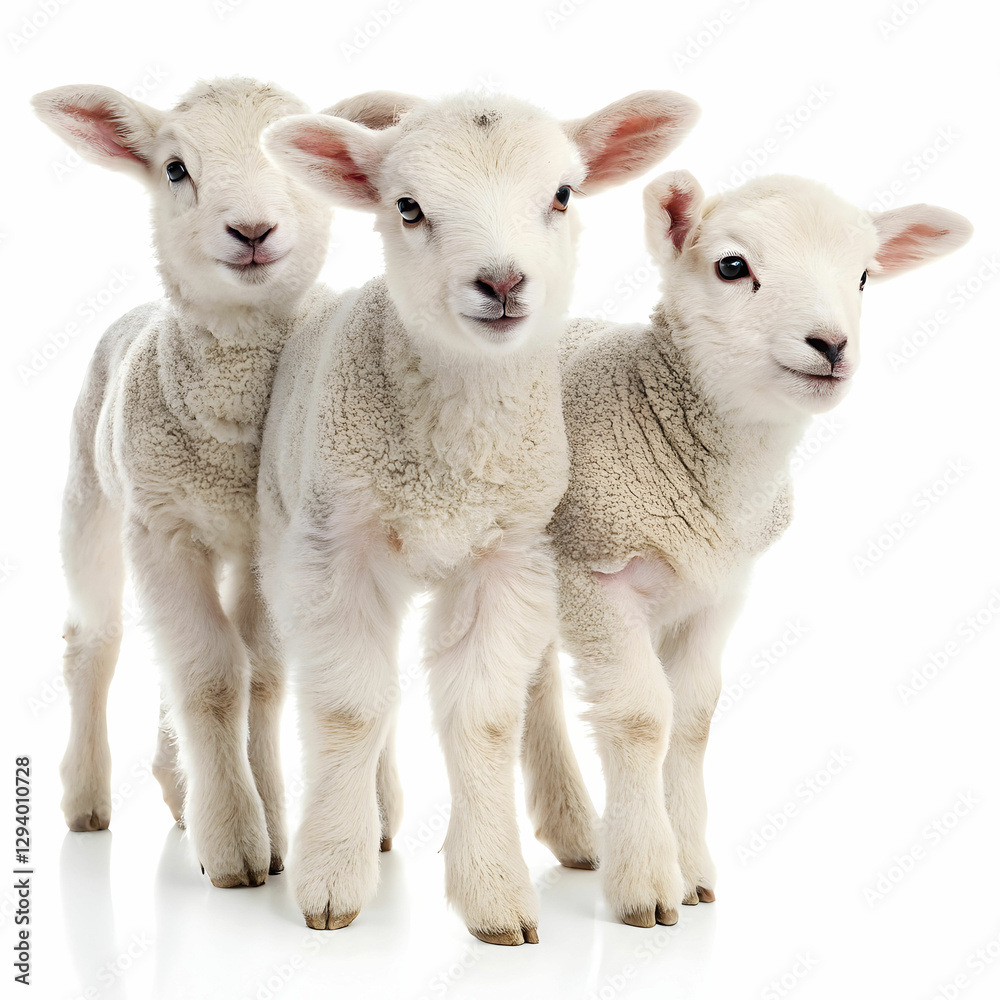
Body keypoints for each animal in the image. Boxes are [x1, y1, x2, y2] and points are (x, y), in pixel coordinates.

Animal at [32, 76, 343, 889]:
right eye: (175, 168)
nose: (252, 230)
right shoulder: (163, 528)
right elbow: (209, 676)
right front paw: (234, 845)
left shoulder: (269, 542)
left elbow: (257, 674)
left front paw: (270, 827)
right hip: (90, 500)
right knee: (95, 642)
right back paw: (86, 799)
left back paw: (178, 789)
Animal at [257, 88, 700, 942]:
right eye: (407, 206)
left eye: (562, 195)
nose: (501, 282)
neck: (452, 465)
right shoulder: (337, 551)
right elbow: (348, 707)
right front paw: (331, 876)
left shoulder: (507, 558)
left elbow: (486, 718)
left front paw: (496, 896)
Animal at [529, 170, 973, 928]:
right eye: (732, 267)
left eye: (864, 275)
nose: (831, 344)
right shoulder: (596, 572)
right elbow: (642, 717)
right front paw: (646, 883)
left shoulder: (718, 591)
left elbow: (693, 719)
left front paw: (691, 873)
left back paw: (576, 835)